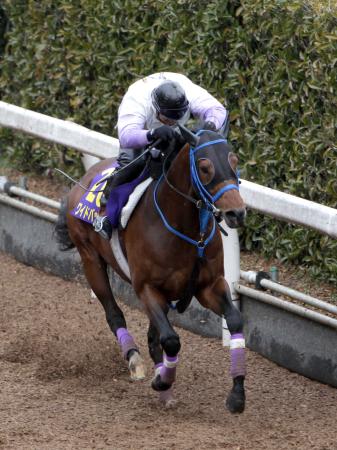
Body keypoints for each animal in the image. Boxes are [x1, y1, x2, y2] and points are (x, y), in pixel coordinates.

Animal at [54, 125, 244, 412]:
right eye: (204, 167)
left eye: (234, 162)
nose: (236, 212)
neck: (182, 227)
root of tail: (85, 179)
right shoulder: (146, 288)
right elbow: (171, 340)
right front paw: (162, 381)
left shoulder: (208, 286)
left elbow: (233, 320)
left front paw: (237, 394)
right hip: (90, 260)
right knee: (115, 314)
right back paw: (135, 360)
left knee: (154, 336)